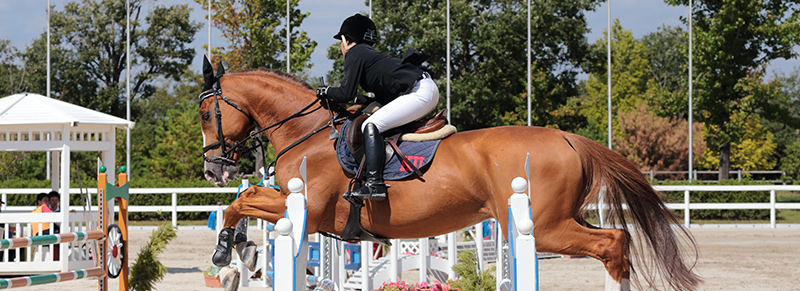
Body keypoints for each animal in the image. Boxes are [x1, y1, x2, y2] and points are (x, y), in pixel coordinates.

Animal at [197, 58, 696, 290]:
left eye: (205, 113)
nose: (213, 167)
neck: (308, 132)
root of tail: (569, 139)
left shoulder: (308, 208)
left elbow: (241, 201)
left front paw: (227, 250)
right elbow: (242, 202)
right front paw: (240, 251)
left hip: (547, 226)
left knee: (612, 243)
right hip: (559, 219)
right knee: (619, 241)